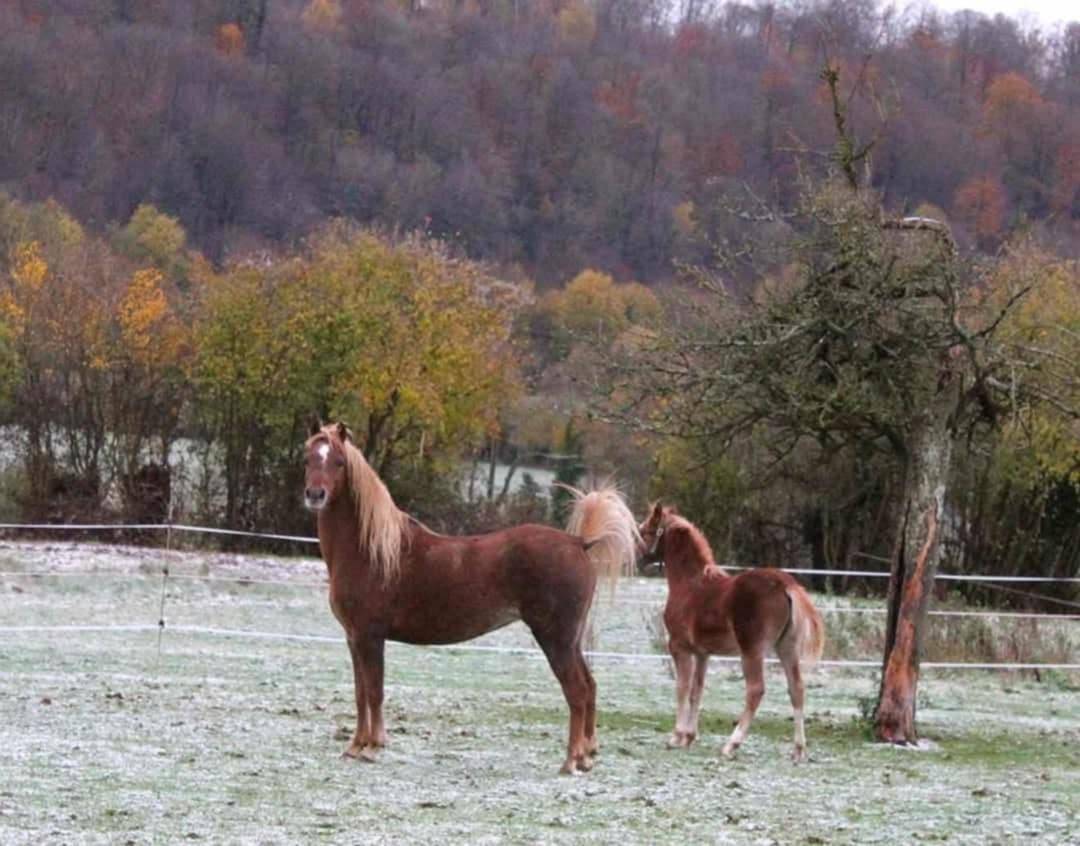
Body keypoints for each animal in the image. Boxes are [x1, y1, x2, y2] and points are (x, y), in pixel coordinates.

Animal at [303, 422, 639, 774]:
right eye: (307, 458)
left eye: (339, 462)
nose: (315, 495)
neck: (371, 550)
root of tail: (578, 542)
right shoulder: (354, 638)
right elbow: (359, 693)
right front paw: (355, 746)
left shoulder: (371, 637)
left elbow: (374, 691)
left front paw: (372, 747)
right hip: (571, 641)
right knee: (589, 687)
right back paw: (586, 757)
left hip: (555, 639)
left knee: (576, 691)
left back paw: (570, 761)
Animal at [637, 503, 825, 762]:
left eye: (645, 531)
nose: (635, 559)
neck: (690, 585)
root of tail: (787, 585)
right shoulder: (703, 653)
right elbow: (697, 690)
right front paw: (689, 737)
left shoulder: (679, 647)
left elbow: (682, 688)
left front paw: (676, 737)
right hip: (786, 648)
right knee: (796, 688)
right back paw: (798, 749)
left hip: (751, 651)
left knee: (755, 690)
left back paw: (731, 745)